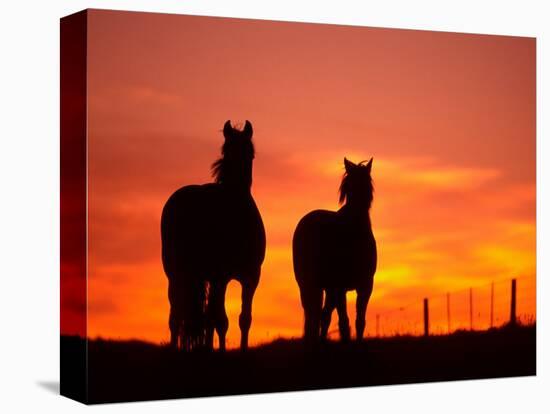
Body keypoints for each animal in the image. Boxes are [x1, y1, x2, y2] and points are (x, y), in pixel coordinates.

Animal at [161, 119, 266, 350]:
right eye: (226, 151)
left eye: (250, 153)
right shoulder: (220, 276)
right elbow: (220, 320)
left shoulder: (250, 277)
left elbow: (244, 319)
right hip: (176, 274)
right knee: (176, 317)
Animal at [294, 158, 380, 342]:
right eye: (349, 185)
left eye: (367, 182)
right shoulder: (339, 287)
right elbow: (344, 322)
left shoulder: (365, 285)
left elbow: (359, 321)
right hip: (308, 285)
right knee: (313, 315)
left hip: (327, 288)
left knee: (323, 315)